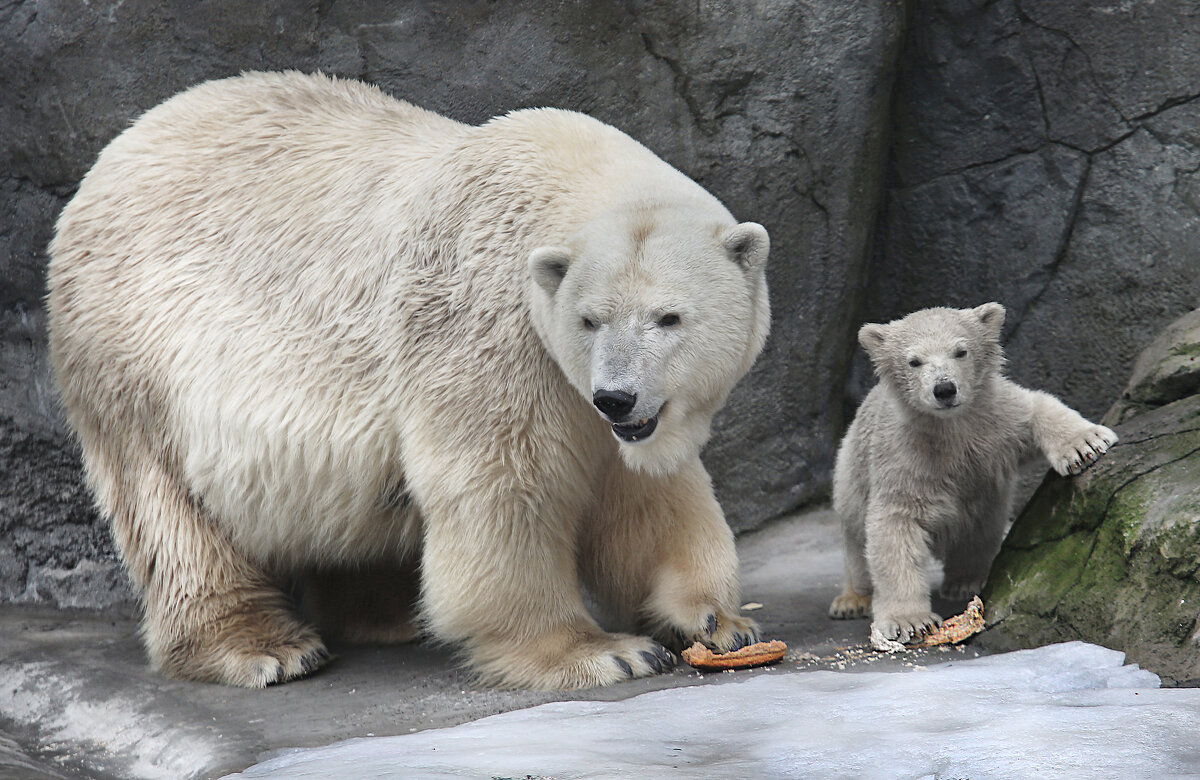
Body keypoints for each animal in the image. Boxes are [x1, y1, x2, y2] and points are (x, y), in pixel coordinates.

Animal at [46, 69, 768, 681]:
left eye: (669, 317)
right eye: (591, 320)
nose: (617, 397)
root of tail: (115, 154)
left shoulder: (596, 400)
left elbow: (646, 496)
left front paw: (716, 619)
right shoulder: (485, 325)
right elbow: (504, 484)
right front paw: (602, 651)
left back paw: (386, 615)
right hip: (134, 355)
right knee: (171, 513)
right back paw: (263, 647)